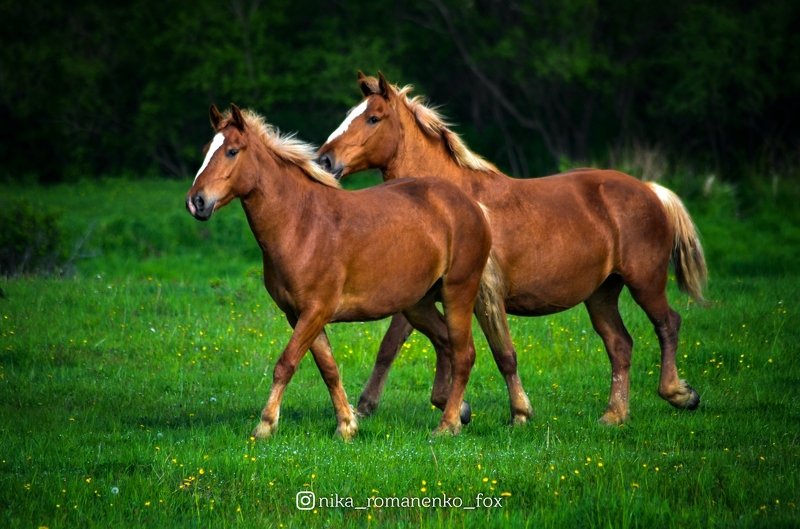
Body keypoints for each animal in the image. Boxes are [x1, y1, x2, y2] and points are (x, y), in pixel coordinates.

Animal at [186, 104, 494, 438]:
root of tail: (473, 206)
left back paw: (446, 425)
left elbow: (286, 363)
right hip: (418, 304)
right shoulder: (299, 315)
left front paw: (265, 425)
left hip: (457, 293)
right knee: (445, 343)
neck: (301, 224)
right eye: (206, 149)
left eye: (231, 151)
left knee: (464, 354)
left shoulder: (315, 311)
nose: (196, 202)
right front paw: (346, 426)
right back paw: (459, 411)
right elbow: (329, 369)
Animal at [316, 72, 708, 425]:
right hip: (601, 294)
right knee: (620, 345)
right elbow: (398, 345)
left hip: (645, 282)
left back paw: (680, 394)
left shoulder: (484, 293)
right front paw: (402, 405)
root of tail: (651, 190)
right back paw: (614, 415)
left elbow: (501, 352)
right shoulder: (425, 293)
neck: (451, 202)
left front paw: (517, 412)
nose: (324, 161)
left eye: (373, 117)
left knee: (668, 323)